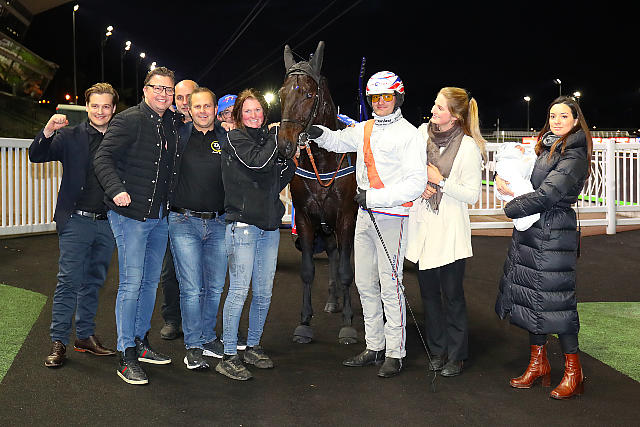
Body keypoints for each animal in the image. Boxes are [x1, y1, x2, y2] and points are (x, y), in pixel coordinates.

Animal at [277, 41, 359, 344]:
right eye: (282, 94)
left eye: (309, 94)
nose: (285, 145)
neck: (324, 159)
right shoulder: (306, 217)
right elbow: (308, 271)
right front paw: (304, 321)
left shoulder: (346, 216)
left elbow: (347, 270)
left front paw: (348, 323)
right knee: (333, 252)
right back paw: (333, 299)